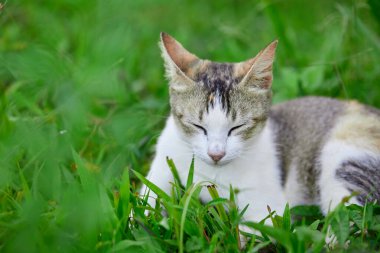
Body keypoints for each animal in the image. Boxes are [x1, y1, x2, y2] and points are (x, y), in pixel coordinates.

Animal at [142, 32, 380, 223]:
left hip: (344, 161)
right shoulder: (161, 168)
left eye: (237, 127)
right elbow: (143, 210)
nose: (216, 154)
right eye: (197, 126)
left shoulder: (270, 210)